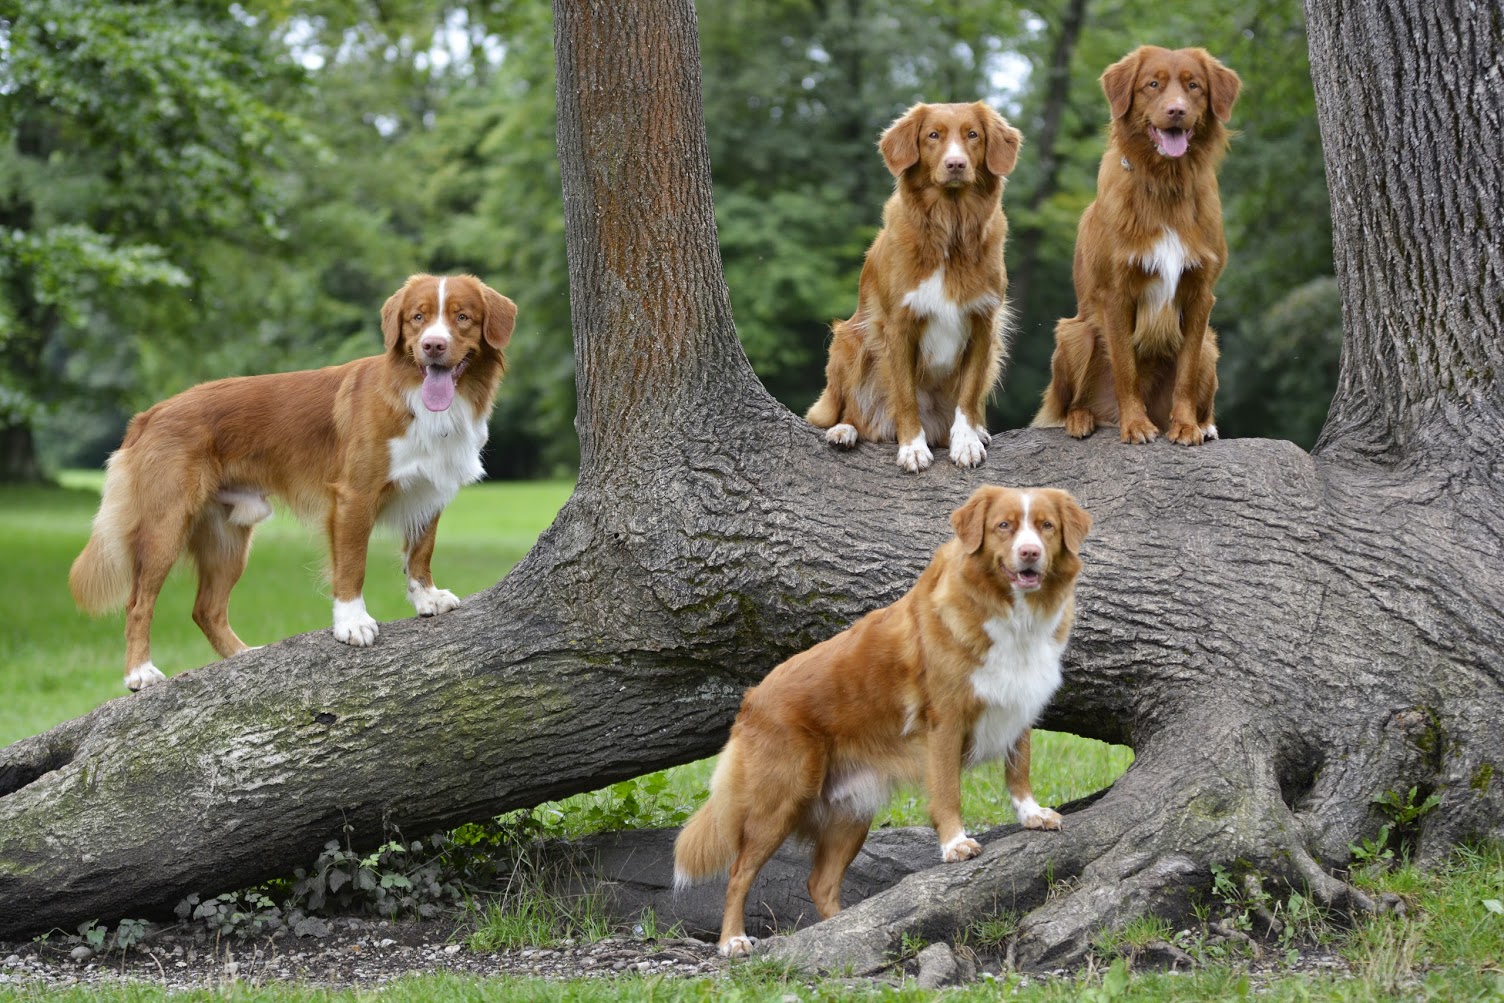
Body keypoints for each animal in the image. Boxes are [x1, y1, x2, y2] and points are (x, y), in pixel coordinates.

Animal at [69, 272, 517, 691]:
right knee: (138, 602)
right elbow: (352, 566)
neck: (416, 399)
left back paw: (244, 656)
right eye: (417, 318)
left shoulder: (430, 491)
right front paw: (352, 622)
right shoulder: (354, 496)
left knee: (206, 609)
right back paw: (139, 672)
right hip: (166, 524)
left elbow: (421, 550)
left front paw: (426, 596)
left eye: (462, 318)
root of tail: (150, 414)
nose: (433, 346)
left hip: (230, 534)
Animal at [676, 487, 1088, 956]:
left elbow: (1018, 770)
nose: (1029, 553)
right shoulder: (945, 721)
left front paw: (1032, 814)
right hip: (780, 798)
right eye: (1004, 526)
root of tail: (750, 700)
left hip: (851, 812)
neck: (1012, 613)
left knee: (820, 883)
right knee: (739, 871)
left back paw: (842, 931)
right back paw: (733, 941)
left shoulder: (1019, 706)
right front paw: (955, 844)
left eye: (1046, 526)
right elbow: (948, 791)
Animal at [806, 103, 1028, 472]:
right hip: (848, 341)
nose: (956, 164)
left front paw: (967, 441)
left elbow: (969, 394)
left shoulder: (984, 324)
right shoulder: (898, 326)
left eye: (973, 135)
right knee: (851, 409)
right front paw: (912, 447)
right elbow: (905, 394)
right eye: (933, 135)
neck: (950, 229)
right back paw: (845, 430)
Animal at [1034, 46, 1245, 448]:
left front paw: (1186, 426)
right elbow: (1126, 368)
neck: (1165, 183)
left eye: (1193, 86)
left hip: (1211, 347)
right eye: (1152, 85)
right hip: (1075, 334)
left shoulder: (1200, 293)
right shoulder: (1117, 293)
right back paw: (1082, 419)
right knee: (1070, 402)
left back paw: (1205, 425)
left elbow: (1185, 374)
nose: (1176, 110)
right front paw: (1135, 425)